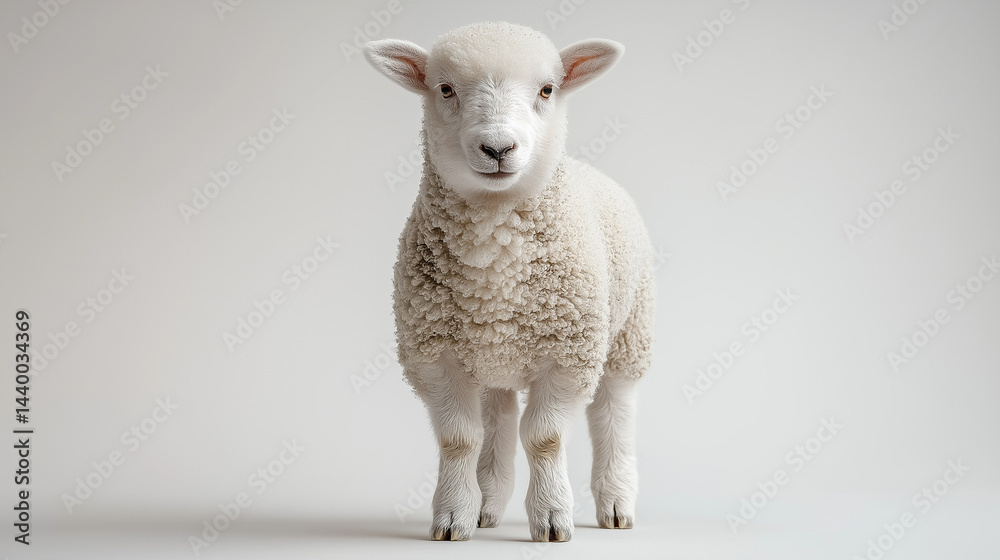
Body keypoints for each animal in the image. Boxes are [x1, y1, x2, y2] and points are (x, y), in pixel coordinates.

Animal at [364, 21, 655, 542]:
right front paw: (453, 517)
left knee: (614, 412)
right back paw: (486, 504)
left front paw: (553, 517)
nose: (498, 148)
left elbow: (545, 437)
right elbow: (459, 438)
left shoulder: (569, 353)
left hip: (628, 332)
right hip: (491, 356)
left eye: (547, 90)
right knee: (497, 415)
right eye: (445, 89)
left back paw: (616, 502)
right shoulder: (434, 354)